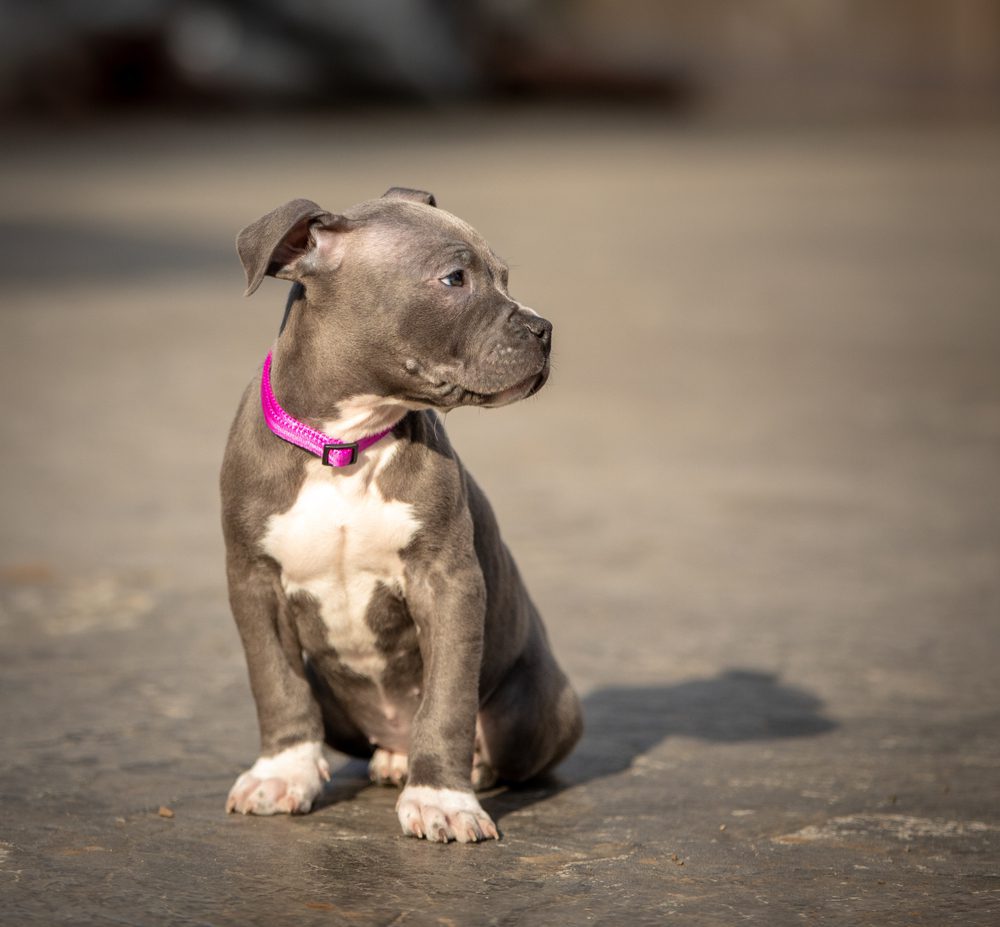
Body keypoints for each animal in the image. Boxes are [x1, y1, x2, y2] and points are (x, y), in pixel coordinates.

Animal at [219, 185, 580, 844]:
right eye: (455, 278)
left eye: (504, 276)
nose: (544, 328)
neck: (345, 444)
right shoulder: (252, 579)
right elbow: (274, 681)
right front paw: (282, 773)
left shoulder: (448, 581)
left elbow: (447, 701)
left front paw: (442, 798)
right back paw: (387, 757)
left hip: (533, 710)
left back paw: (459, 765)